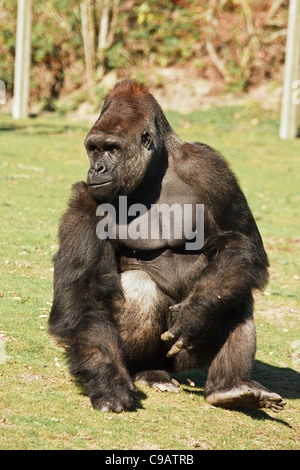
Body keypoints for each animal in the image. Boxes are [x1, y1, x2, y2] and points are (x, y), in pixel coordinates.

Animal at [49, 79, 286, 414]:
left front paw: (197, 310)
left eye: (111, 148)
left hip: (186, 357)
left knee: (234, 280)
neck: (154, 173)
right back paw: (145, 370)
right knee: (139, 287)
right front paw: (108, 380)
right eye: (93, 148)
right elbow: (84, 288)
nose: (96, 169)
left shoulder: (210, 168)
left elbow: (240, 242)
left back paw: (227, 386)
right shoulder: (87, 197)